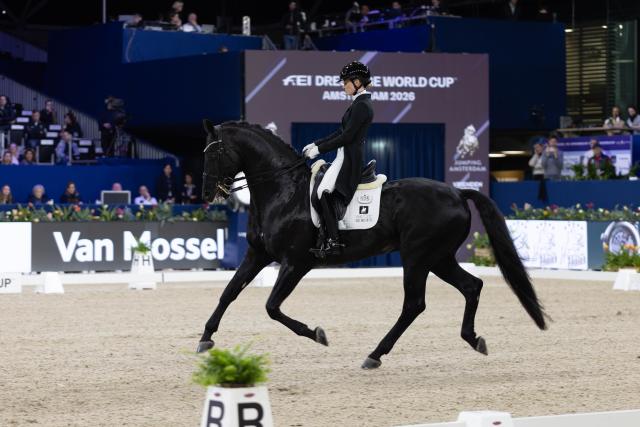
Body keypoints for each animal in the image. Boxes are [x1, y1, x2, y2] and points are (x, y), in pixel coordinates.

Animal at [197, 120, 547, 369]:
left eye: (213, 152)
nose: (207, 193)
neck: (283, 191)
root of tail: (458, 192)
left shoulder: (296, 263)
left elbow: (272, 307)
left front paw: (317, 334)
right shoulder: (257, 254)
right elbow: (228, 292)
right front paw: (205, 339)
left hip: (418, 256)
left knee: (414, 304)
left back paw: (375, 355)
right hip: (439, 257)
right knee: (471, 286)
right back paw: (473, 339)